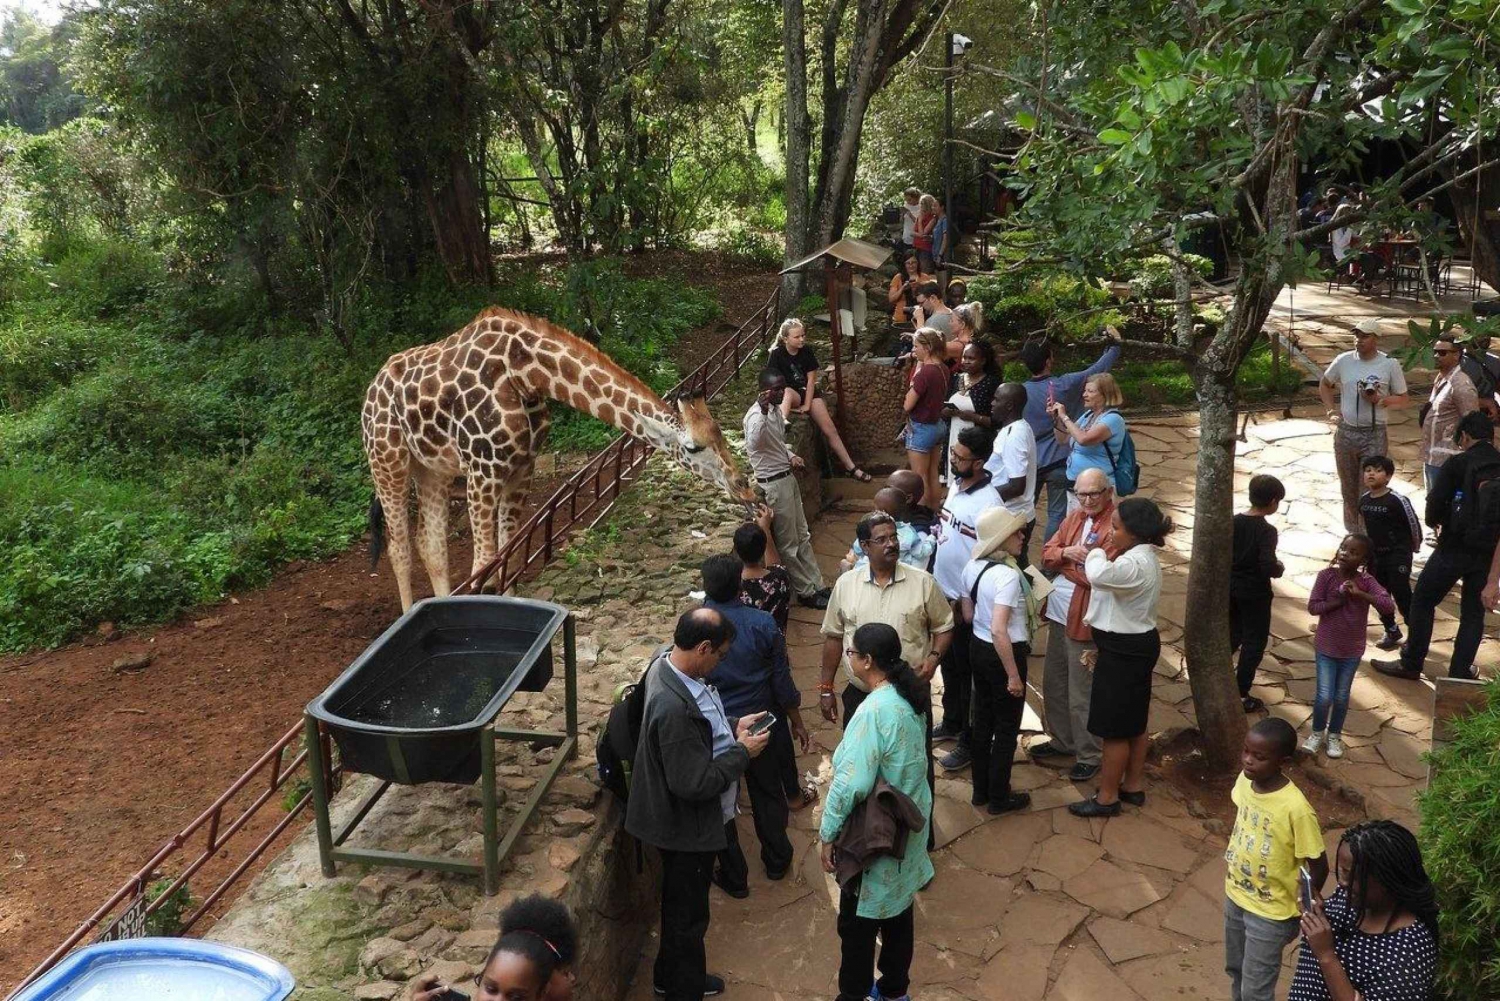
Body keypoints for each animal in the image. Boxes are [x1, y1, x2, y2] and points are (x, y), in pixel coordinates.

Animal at [362, 306, 758, 610]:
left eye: (720, 433)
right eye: (693, 447)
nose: (744, 486)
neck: (525, 372)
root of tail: (371, 389)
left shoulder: (521, 466)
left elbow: (510, 557)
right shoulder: (482, 470)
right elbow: (484, 565)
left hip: (432, 468)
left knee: (430, 545)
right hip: (388, 460)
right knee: (399, 547)